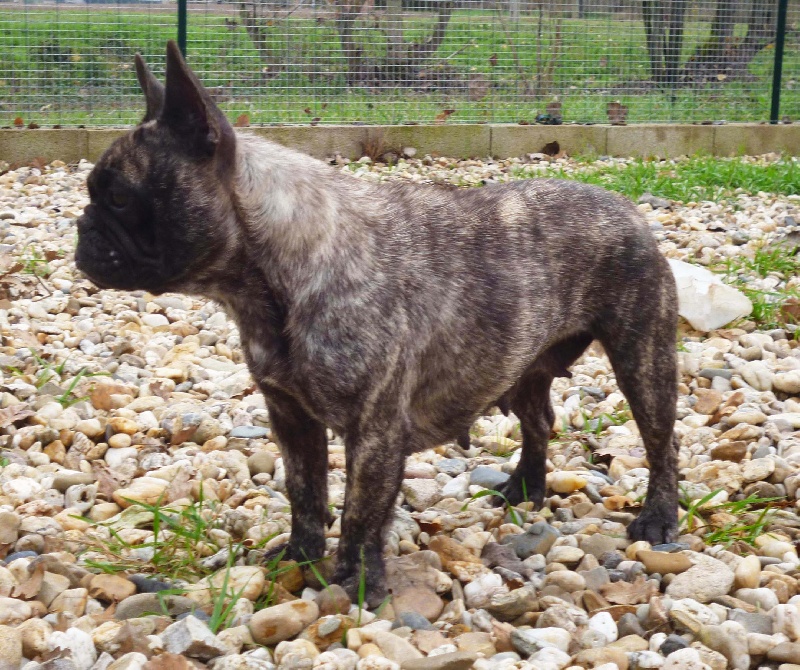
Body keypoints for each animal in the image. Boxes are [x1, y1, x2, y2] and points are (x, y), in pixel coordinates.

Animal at [75, 41, 680, 605]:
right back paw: (524, 487)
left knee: (661, 444)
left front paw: (355, 582)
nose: (83, 228)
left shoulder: (374, 431)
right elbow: (305, 493)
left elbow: (361, 512)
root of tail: (624, 207)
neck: (276, 272)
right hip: (525, 366)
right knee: (539, 420)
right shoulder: (291, 417)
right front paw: (299, 556)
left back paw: (658, 519)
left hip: (642, 360)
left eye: (121, 197)